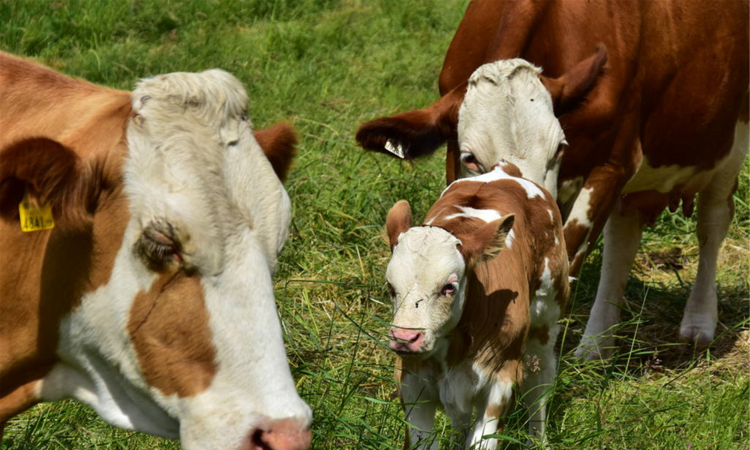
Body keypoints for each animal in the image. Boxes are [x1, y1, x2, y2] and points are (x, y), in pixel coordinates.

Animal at [358, 0, 750, 358]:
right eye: (471, 157)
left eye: (559, 148)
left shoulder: (614, 163)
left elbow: (569, 252)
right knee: (623, 238)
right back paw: (596, 347)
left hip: (731, 141)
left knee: (712, 223)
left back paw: (698, 323)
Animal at [388, 165, 568, 450]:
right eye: (390, 286)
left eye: (448, 286)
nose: (405, 337)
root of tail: (505, 170)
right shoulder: (411, 381)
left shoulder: (501, 379)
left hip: (546, 319)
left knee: (539, 384)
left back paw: (537, 441)